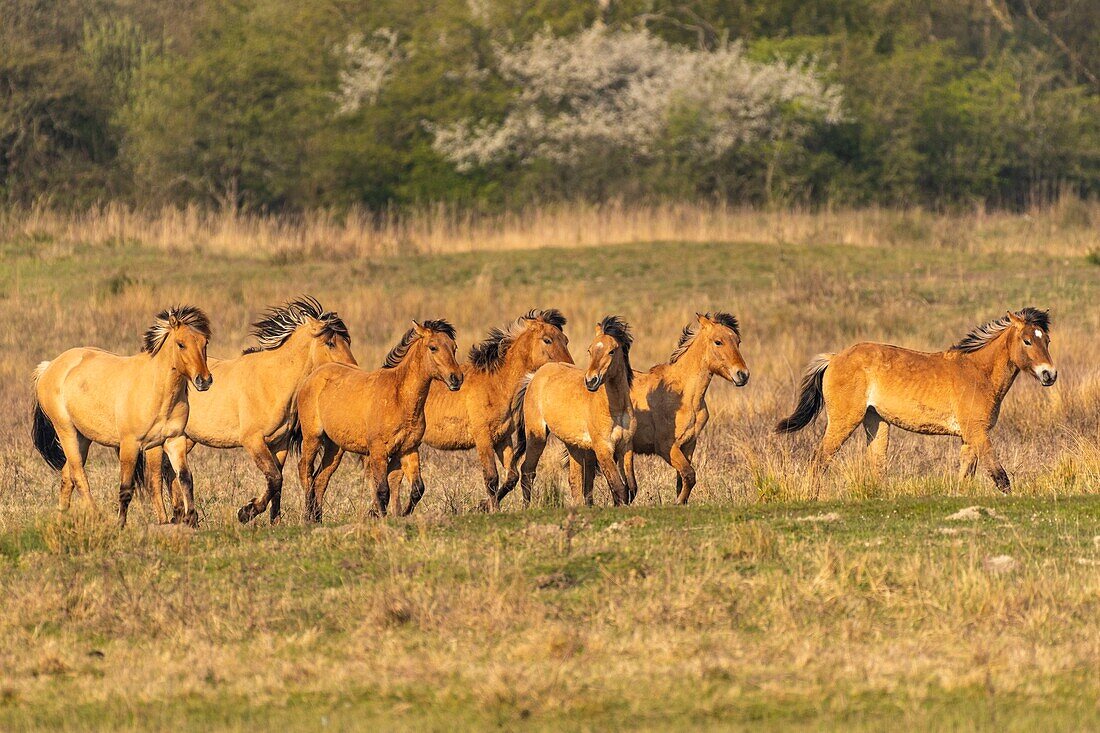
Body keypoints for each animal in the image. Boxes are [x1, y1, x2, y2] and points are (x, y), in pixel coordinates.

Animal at [31, 303, 213, 526]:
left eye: (204, 343)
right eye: (181, 344)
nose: (204, 380)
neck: (157, 391)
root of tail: (49, 367)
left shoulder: (173, 441)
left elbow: (185, 479)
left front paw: (188, 519)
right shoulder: (129, 445)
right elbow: (126, 488)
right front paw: (120, 524)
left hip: (83, 437)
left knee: (68, 476)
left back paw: (61, 520)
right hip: (66, 432)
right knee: (79, 476)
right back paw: (97, 518)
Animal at [294, 319, 462, 519]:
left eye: (454, 347)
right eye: (433, 347)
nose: (456, 379)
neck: (399, 397)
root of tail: (312, 377)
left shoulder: (408, 449)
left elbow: (417, 489)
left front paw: (401, 514)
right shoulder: (378, 451)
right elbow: (382, 490)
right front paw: (379, 517)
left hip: (335, 447)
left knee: (321, 478)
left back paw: (317, 519)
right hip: (313, 437)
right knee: (305, 470)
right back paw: (307, 516)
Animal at [506, 314, 638, 508]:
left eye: (612, 351)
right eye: (590, 350)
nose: (591, 381)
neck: (615, 408)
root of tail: (534, 376)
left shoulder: (626, 447)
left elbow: (630, 487)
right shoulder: (603, 449)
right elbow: (619, 487)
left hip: (573, 445)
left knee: (576, 480)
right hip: (537, 436)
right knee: (528, 471)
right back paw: (526, 507)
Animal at [629, 310, 748, 506]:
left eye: (737, 341)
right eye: (718, 341)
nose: (743, 375)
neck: (684, 396)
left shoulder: (688, 445)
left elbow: (682, 479)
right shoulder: (667, 447)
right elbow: (690, 475)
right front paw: (677, 502)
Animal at [774, 305, 1056, 493]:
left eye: (1047, 340)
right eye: (1027, 341)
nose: (1049, 374)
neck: (977, 371)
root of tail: (834, 358)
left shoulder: (969, 436)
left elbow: (966, 475)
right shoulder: (977, 432)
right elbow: (1000, 476)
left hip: (876, 422)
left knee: (876, 464)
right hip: (844, 420)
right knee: (819, 459)